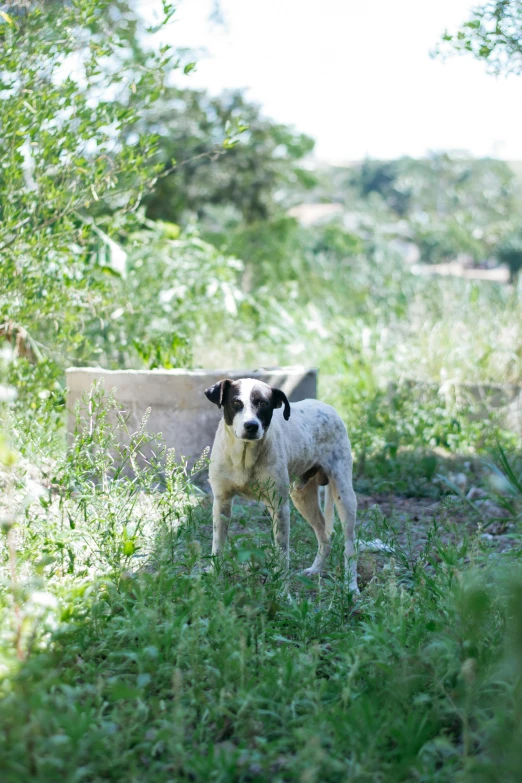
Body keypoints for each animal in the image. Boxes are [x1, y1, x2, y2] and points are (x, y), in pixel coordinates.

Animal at [204, 376, 362, 592]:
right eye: (236, 403)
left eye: (263, 404)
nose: (251, 426)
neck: (245, 457)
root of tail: (327, 407)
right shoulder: (222, 503)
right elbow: (217, 546)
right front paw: (214, 579)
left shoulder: (279, 507)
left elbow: (282, 555)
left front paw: (282, 592)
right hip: (302, 498)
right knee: (325, 536)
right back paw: (316, 570)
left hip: (344, 495)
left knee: (350, 546)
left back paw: (351, 586)